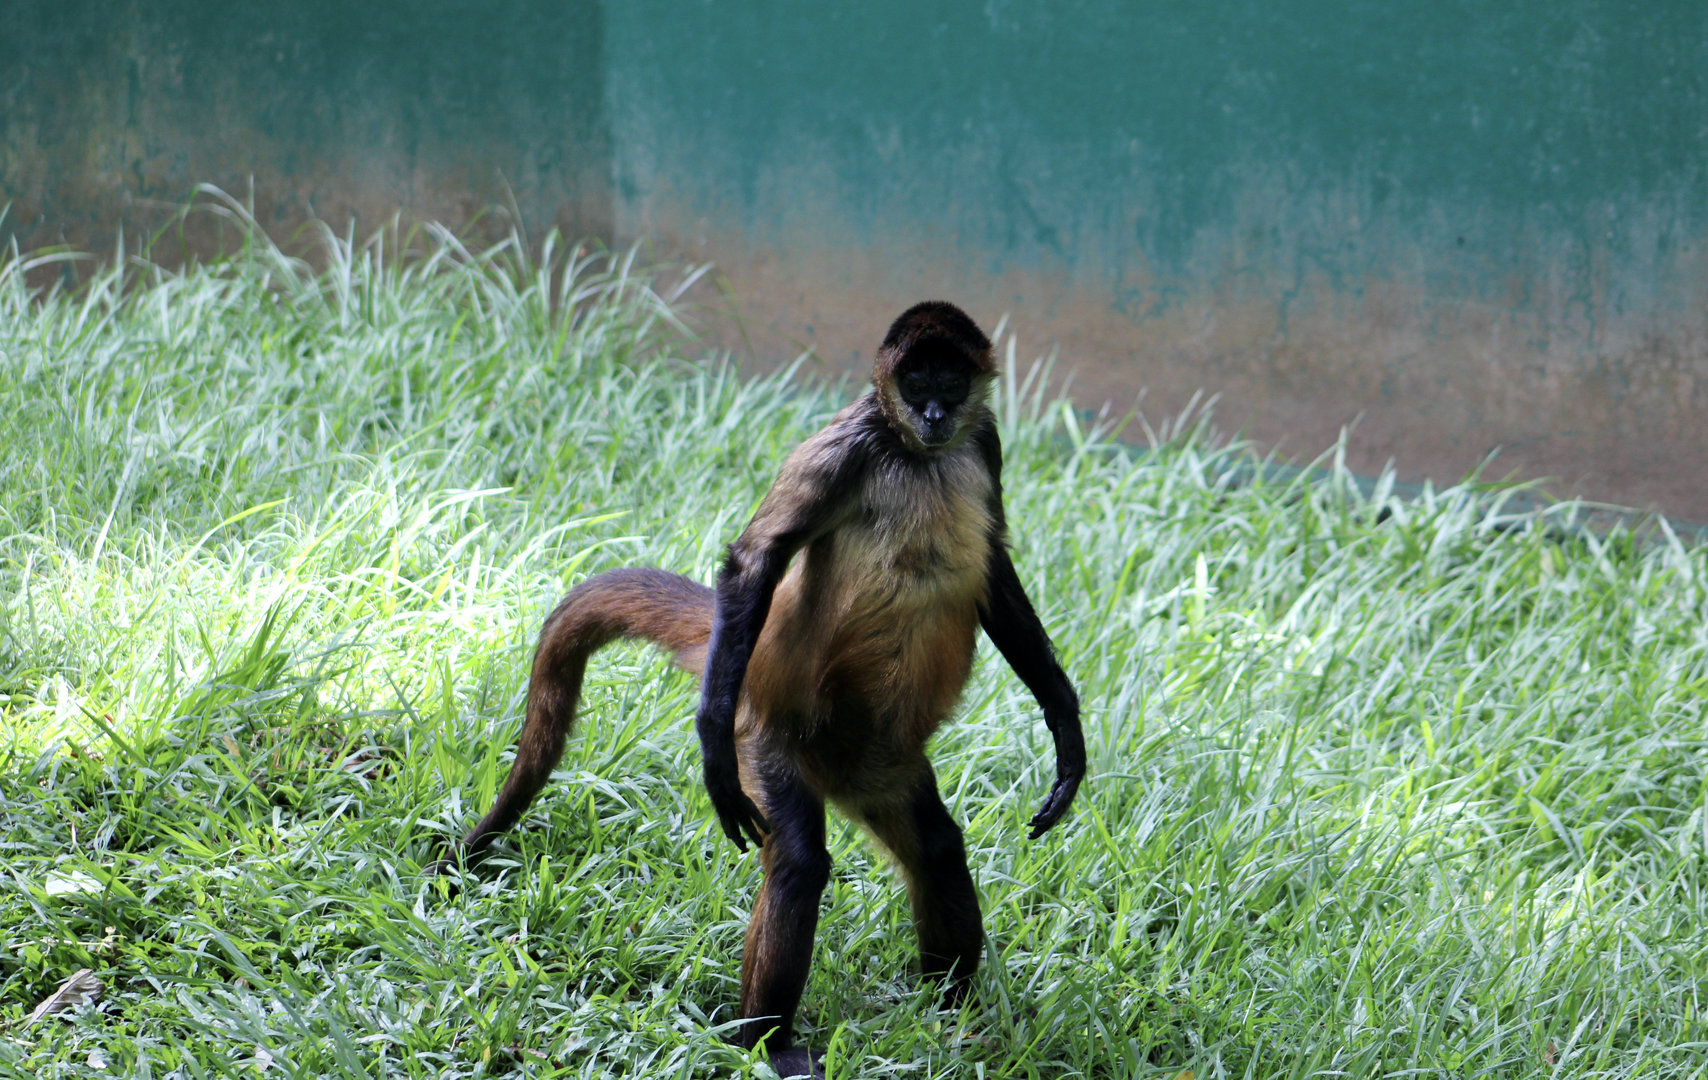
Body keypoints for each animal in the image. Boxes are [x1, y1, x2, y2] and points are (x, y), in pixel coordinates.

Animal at [436, 301, 1085, 1079]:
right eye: (917, 380)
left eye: (951, 383)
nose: (932, 413)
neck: (916, 455)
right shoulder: (844, 449)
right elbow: (757, 558)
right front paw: (709, 743)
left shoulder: (982, 440)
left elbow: (992, 561)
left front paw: (1066, 730)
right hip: (774, 741)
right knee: (801, 859)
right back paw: (767, 1044)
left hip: (882, 767)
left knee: (936, 846)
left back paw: (949, 1018)